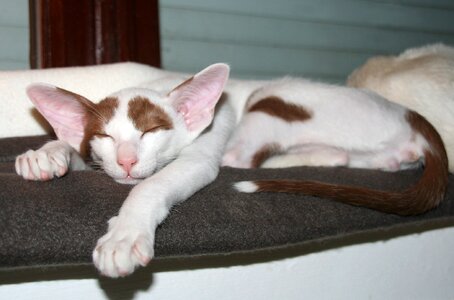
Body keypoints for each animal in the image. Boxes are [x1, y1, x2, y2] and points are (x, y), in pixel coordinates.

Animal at [15, 62, 450, 276]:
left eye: (152, 131)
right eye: (105, 137)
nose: (126, 161)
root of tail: (413, 117)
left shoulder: (201, 150)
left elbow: (152, 184)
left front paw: (124, 237)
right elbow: (80, 154)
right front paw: (47, 154)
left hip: (272, 97)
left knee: (239, 157)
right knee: (350, 159)